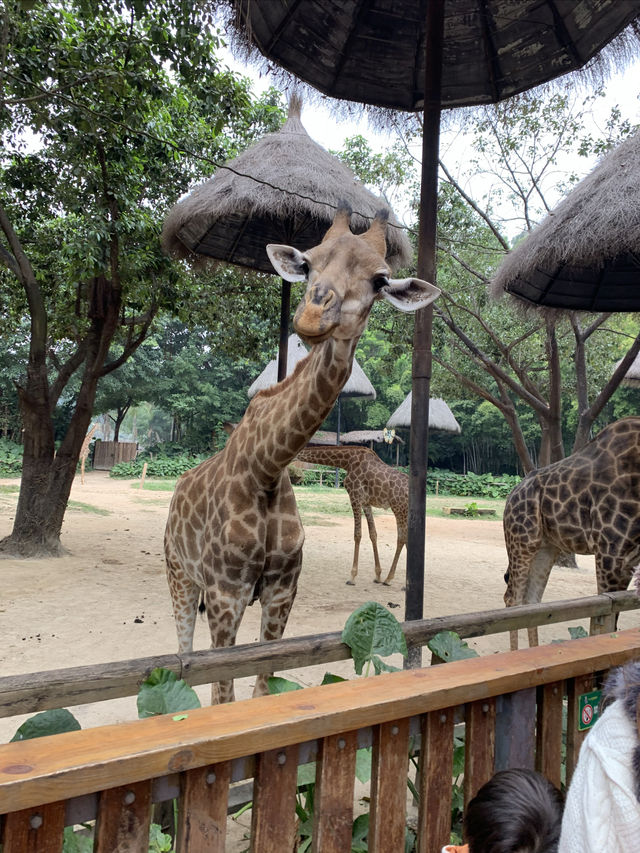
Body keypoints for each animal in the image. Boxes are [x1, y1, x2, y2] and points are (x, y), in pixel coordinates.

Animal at [296, 442, 408, 584]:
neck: (346, 462)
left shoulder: (355, 497)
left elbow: (357, 535)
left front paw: (352, 576)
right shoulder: (366, 503)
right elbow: (373, 534)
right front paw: (377, 575)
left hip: (398, 508)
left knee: (402, 538)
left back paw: (389, 579)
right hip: (404, 510)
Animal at [502, 416, 640, 648]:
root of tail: (511, 494)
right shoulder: (610, 552)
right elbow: (605, 617)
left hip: (547, 547)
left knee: (532, 601)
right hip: (522, 540)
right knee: (513, 599)